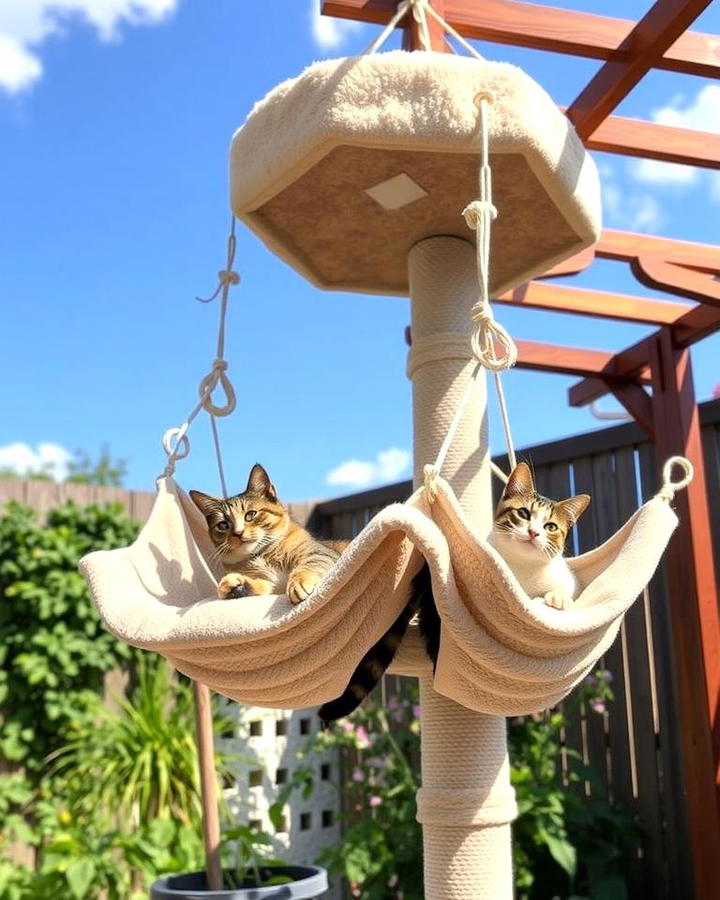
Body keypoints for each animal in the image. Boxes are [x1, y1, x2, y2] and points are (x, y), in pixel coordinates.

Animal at [188, 464, 346, 604]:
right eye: (223, 525)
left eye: (250, 515)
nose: (238, 533)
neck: (261, 555)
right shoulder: (271, 585)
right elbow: (261, 586)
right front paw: (233, 587)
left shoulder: (320, 553)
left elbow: (309, 564)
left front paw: (297, 584)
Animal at [318, 464, 588, 724]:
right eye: (523, 513)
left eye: (551, 526)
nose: (533, 533)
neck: (522, 568)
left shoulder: (567, 578)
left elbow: (567, 589)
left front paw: (558, 598)